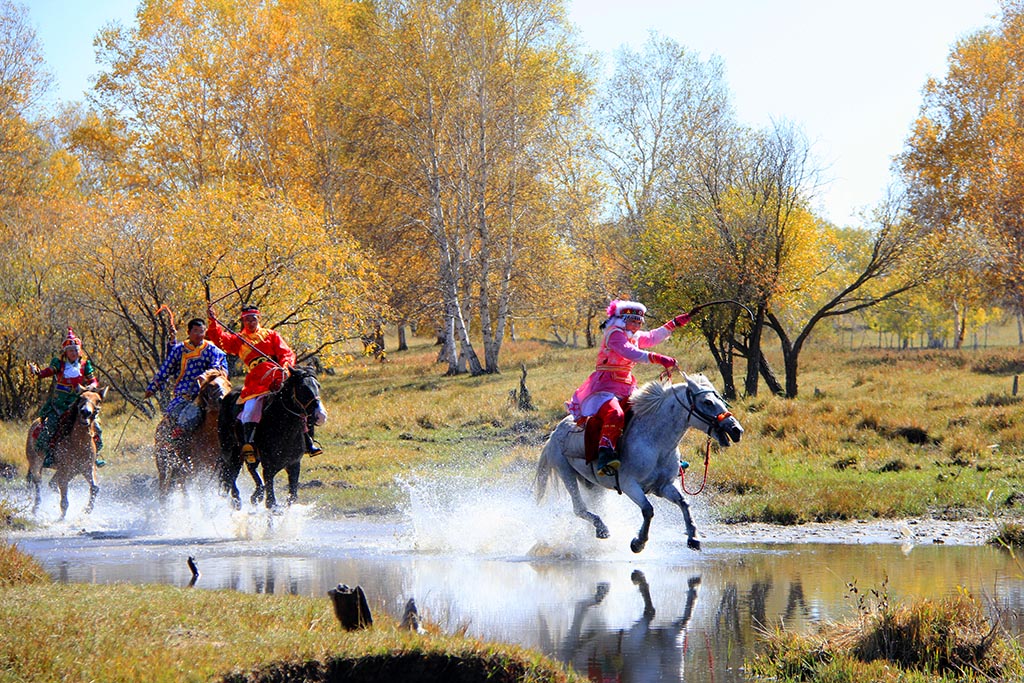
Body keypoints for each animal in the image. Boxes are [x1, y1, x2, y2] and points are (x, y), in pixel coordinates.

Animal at [26, 389, 107, 518]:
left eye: (98, 400)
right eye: (81, 398)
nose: (85, 412)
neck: (78, 444)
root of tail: (35, 422)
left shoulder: (87, 467)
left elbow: (95, 487)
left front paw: (87, 510)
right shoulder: (65, 470)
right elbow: (64, 495)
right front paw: (61, 517)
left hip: (72, 471)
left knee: (52, 483)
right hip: (35, 462)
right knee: (38, 481)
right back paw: (36, 508)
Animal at [153, 370, 232, 499]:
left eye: (229, 384)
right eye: (212, 386)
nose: (224, 399)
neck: (210, 438)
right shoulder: (196, 471)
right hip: (165, 466)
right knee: (165, 491)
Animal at [536, 374, 745, 557]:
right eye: (708, 402)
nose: (736, 430)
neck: (655, 441)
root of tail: (554, 433)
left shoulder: (664, 485)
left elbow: (684, 503)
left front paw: (693, 538)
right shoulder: (629, 485)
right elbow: (648, 510)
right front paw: (638, 543)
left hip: (593, 485)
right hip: (566, 472)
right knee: (579, 508)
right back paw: (602, 529)